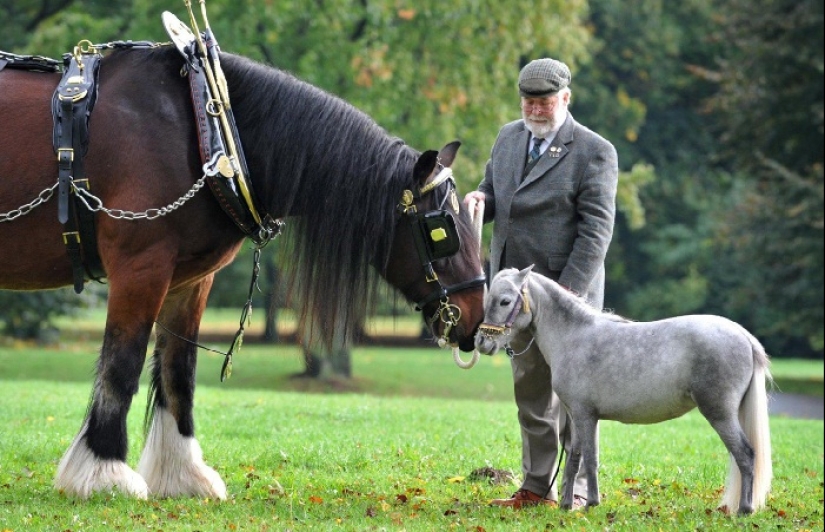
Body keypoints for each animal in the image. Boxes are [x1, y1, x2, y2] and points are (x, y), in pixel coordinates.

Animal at [0, 45, 486, 498]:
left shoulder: (189, 280)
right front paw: (104, 471)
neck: (207, 127)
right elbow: (123, 363)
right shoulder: (140, 266)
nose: (476, 315)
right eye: (441, 228)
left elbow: (179, 369)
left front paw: (182, 473)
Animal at [476, 266, 772, 516]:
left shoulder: (585, 415)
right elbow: (579, 460)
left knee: (746, 455)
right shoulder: (580, 417)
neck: (573, 336)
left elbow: (586, 459)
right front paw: (573, 505)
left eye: (505, 301)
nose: (481, 342)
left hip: (719, 413)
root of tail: (744, 336)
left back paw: (745, 510)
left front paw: (585, 504)